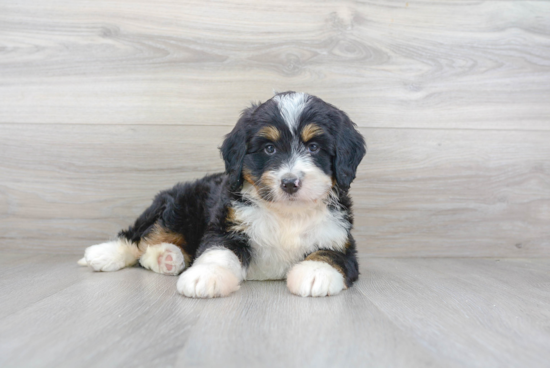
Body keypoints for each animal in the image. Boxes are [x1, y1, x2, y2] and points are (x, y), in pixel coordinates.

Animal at [77, 92, 368, 300]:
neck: (287, 213)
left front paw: (315, 273)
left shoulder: (339, 238)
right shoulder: (226, 226)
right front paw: (206, 276)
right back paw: (104, 254)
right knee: (141, 236)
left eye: (314, 147)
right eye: (270, 149)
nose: (289, 183)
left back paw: (166, 258)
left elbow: (329, 255)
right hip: (179, 207)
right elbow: (218, 252)